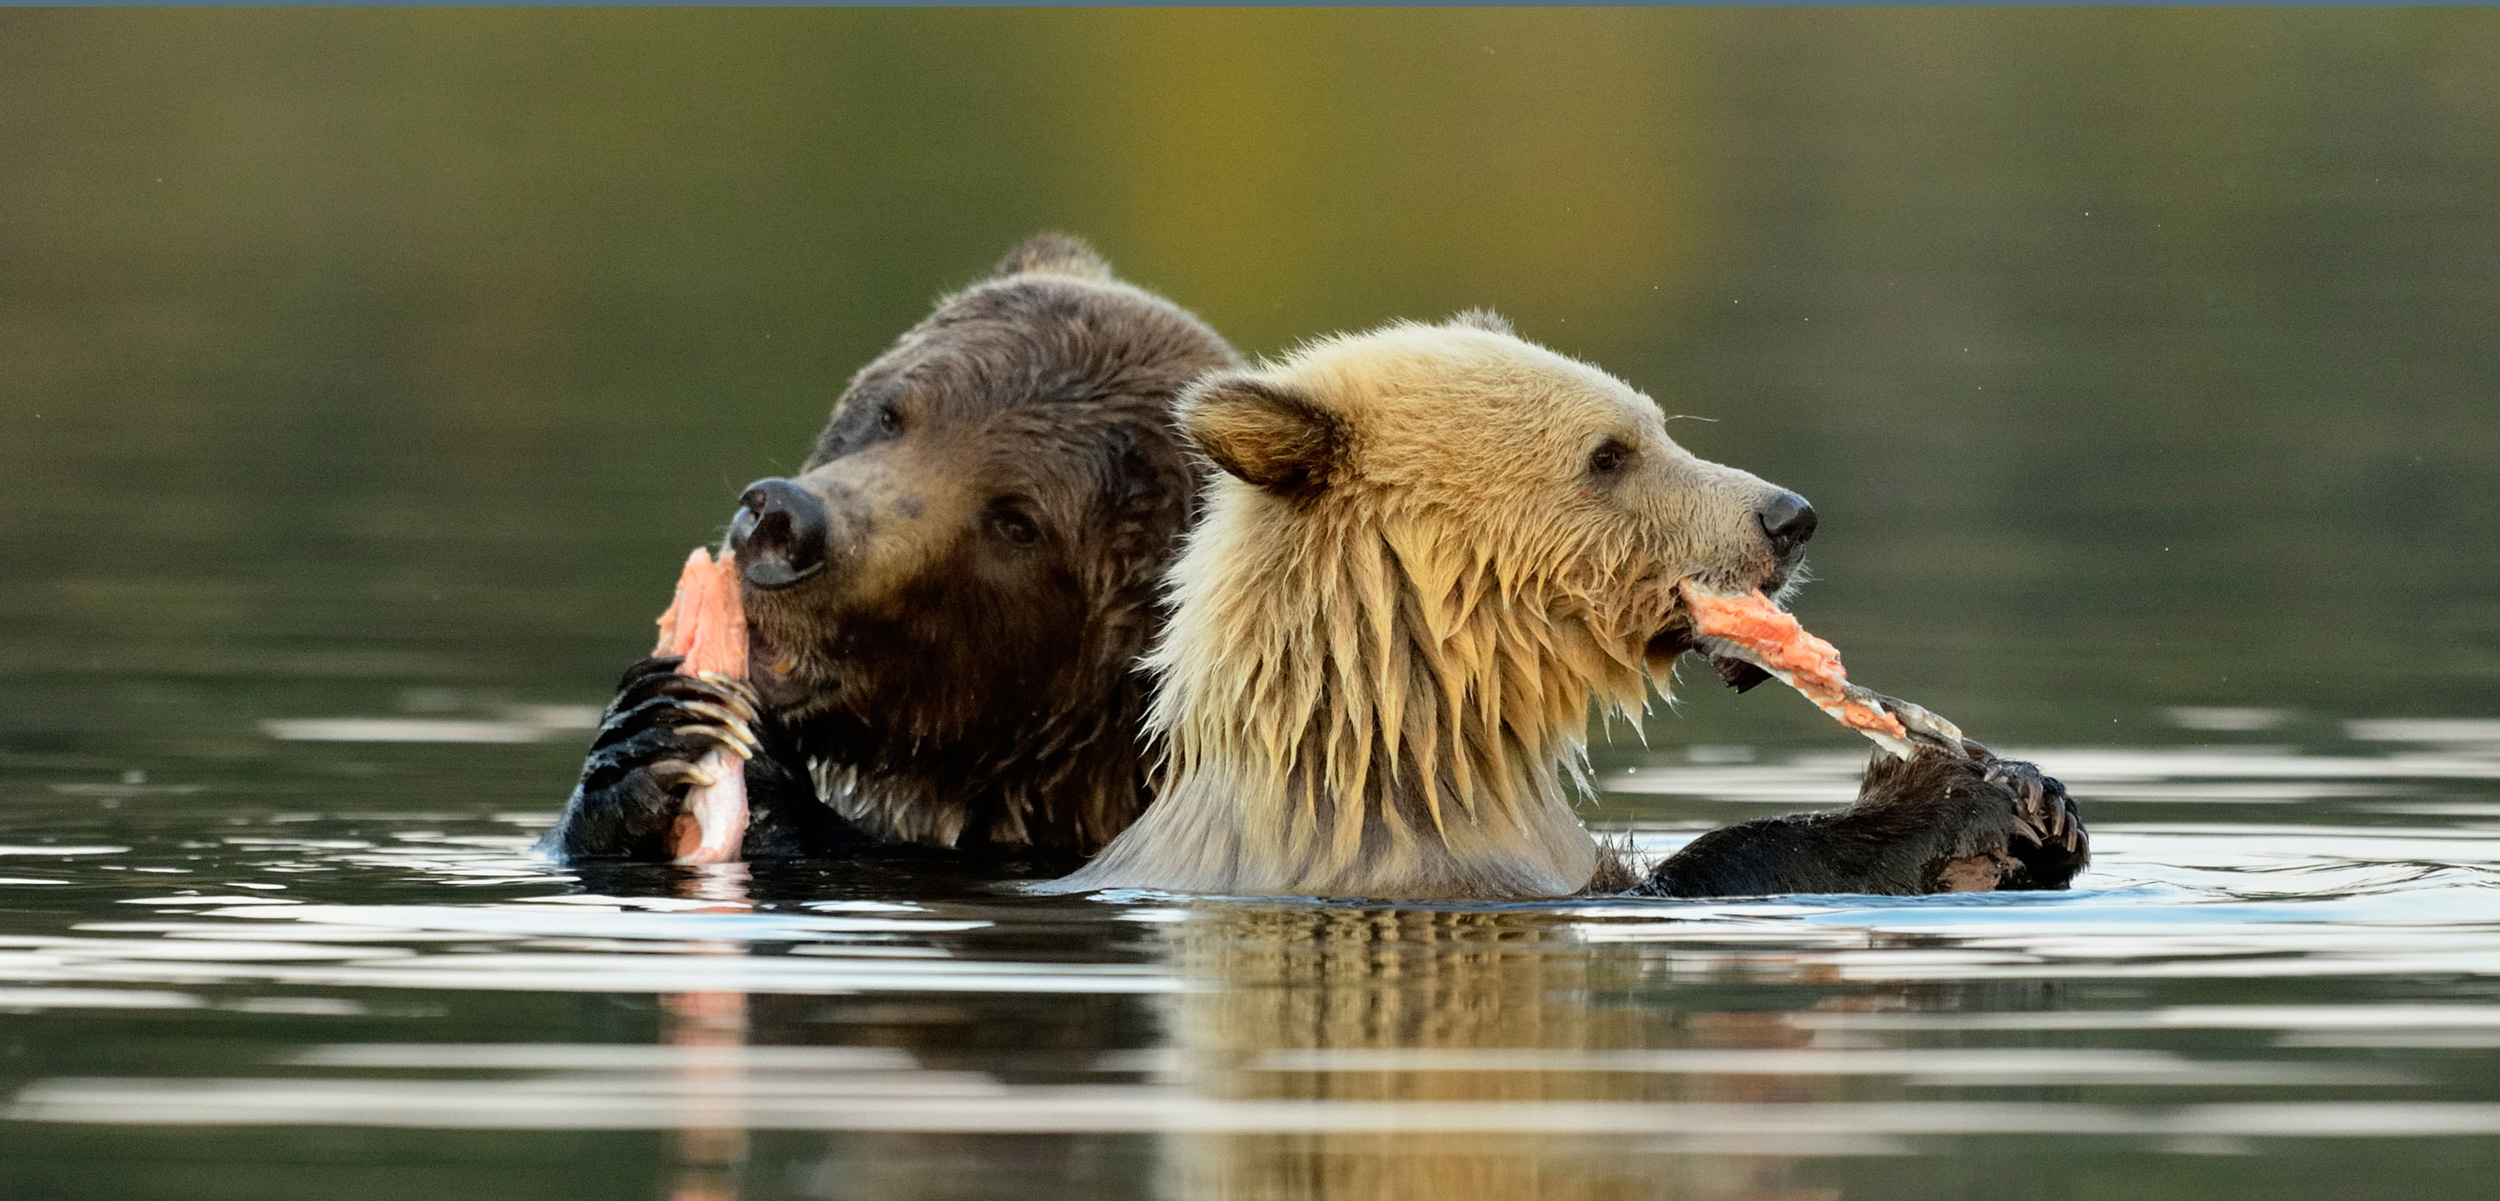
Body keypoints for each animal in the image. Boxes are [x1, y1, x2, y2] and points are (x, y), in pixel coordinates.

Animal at [1039, 313, 2085, 900]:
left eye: (1659, 425)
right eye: (1608, 453)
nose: (1788, 516)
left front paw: (2045, 803)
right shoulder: (1435, 870)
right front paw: (1956, 798)